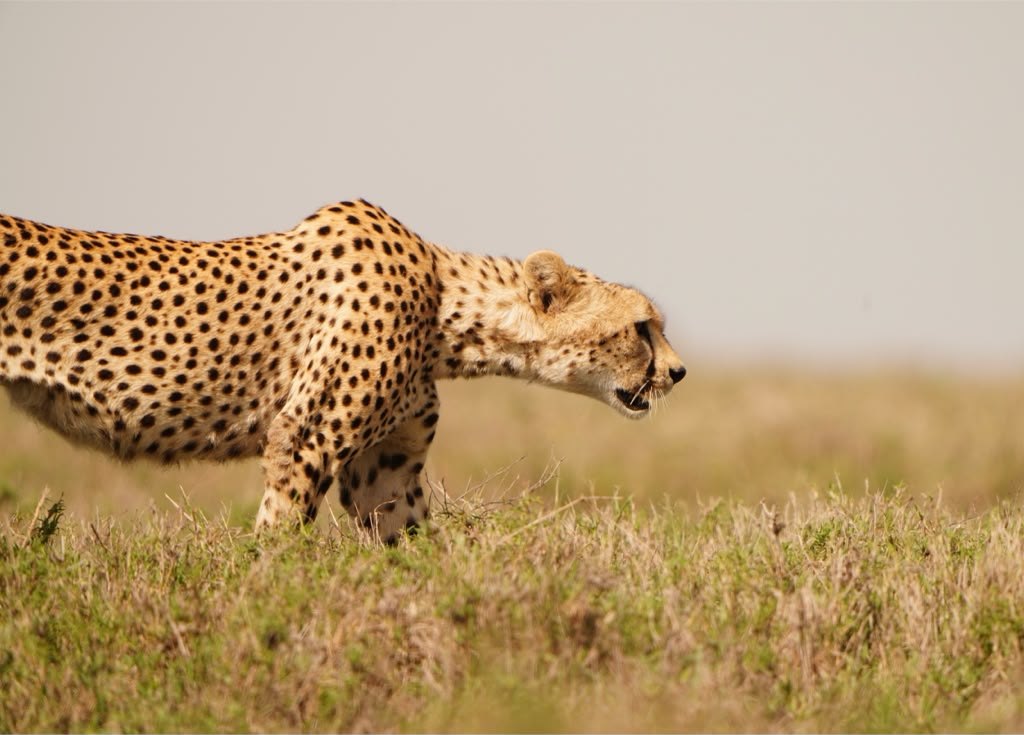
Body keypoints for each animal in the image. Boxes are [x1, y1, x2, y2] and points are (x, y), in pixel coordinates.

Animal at [0, 200, 686, 543]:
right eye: (642, 327)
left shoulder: (385, 470)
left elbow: (417, 547)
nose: (678, 373)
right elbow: (281, 537)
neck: (444, 307)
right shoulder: (305, 436)